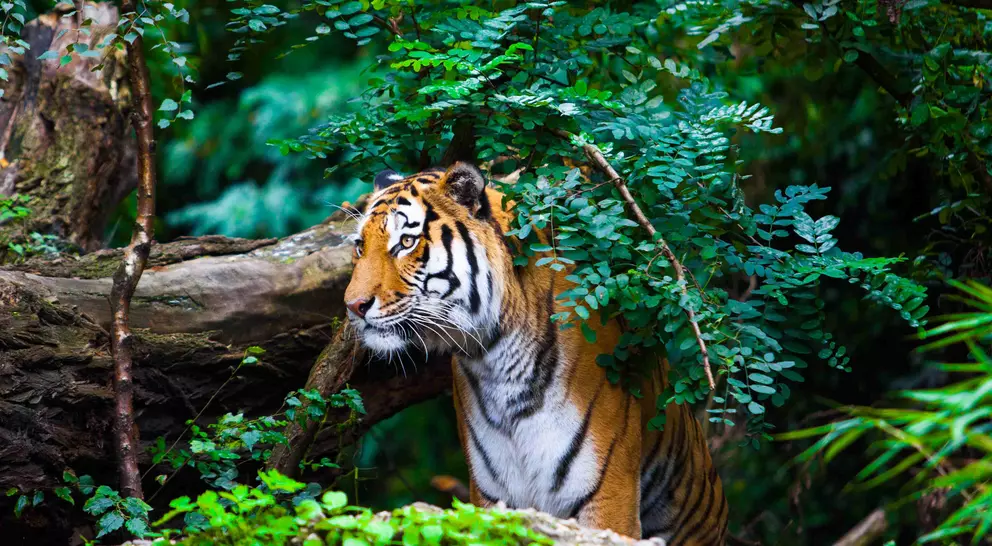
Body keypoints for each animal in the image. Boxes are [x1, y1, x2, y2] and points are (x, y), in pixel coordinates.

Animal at [343, 161, 729, 545]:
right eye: (360, 246)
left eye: (406, 242)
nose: (353, 306)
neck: (495, 360)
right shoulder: (492, 495)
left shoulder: (608, 495)